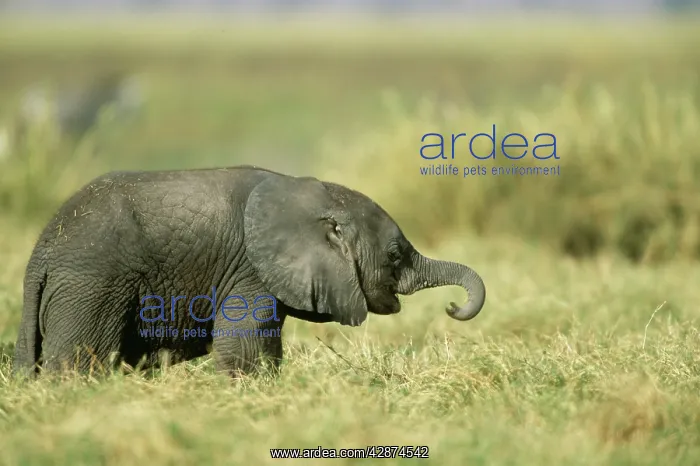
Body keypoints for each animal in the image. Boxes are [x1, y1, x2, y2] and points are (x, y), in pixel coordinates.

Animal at [12, 166, 486, 377]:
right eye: (394, 254)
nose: (452, 307)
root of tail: (42, 252)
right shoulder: (251, 270)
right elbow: (242, 346)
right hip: (92, 287)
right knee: (80, 361)